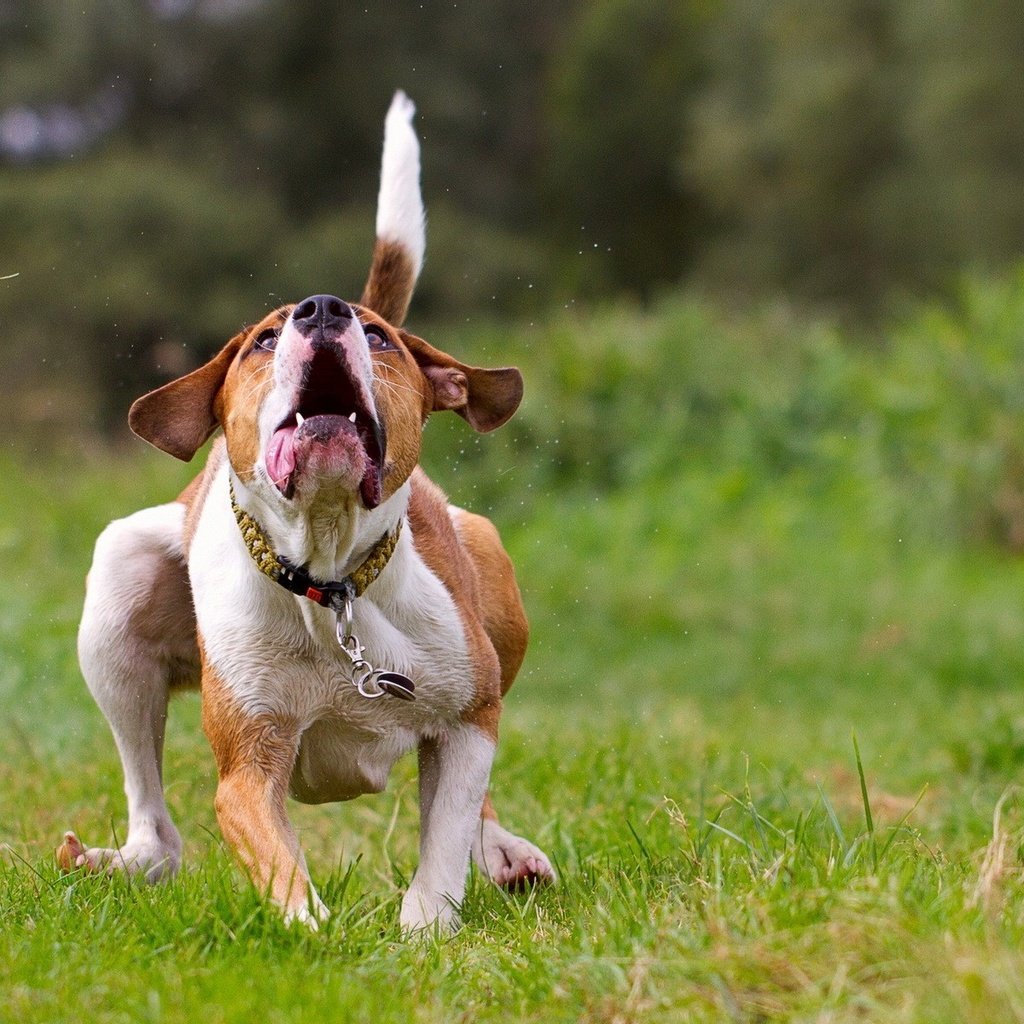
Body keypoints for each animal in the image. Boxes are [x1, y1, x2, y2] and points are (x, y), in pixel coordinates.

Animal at [56, 92, 552, 933]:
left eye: (380, 338)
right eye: (263, 338)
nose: (324, 310)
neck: (329, 582)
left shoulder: (467, 717)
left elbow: (448, 830)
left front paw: (423, 929)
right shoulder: (247, 769)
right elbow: (281, 869)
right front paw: (317, 936)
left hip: (493, 584)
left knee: (475, 801)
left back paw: (507, 853)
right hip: (118, 586)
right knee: (158, 831)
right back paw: (120, 861)